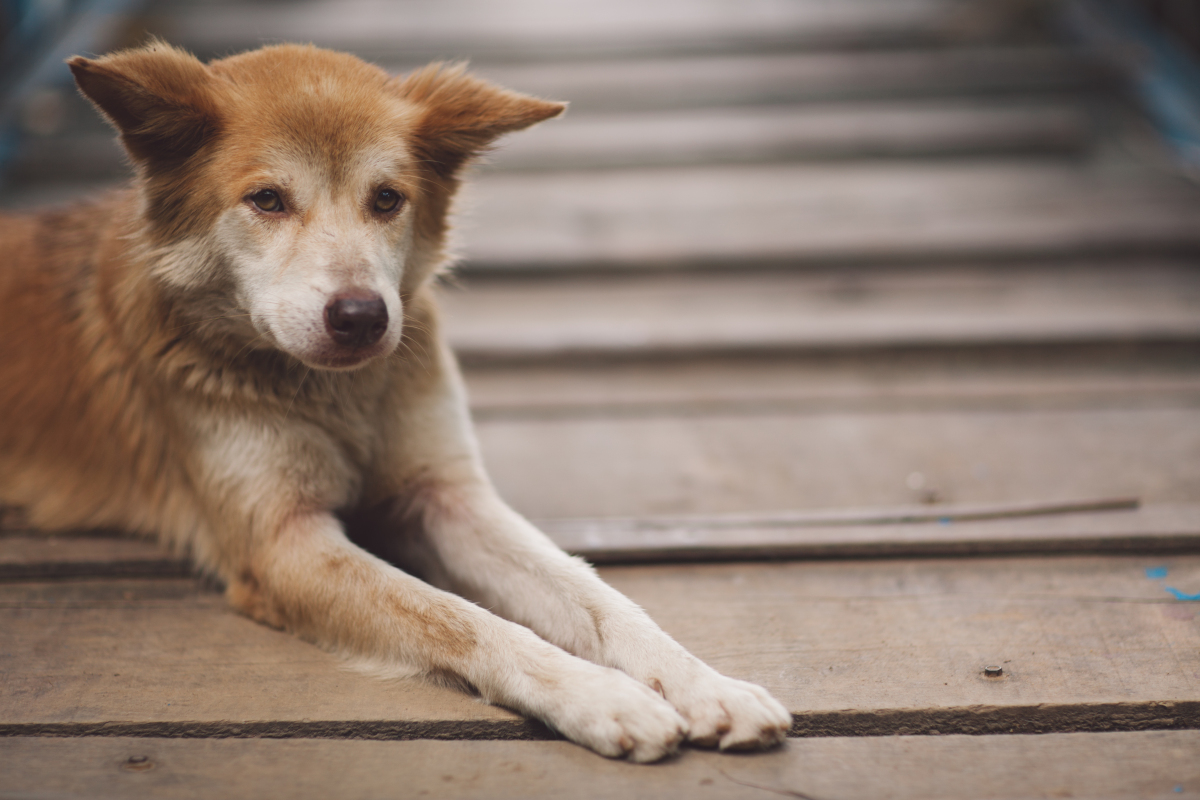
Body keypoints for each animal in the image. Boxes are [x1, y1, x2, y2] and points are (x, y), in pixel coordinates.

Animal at [0, 40, 792, 762]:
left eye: (387, 198)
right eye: (266, 200)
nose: (361, 317)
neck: (334, 394)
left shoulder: (445, 496)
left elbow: (596, 596)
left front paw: (703, 683)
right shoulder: (284, 544)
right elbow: (458, 617)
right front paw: (598, 693)